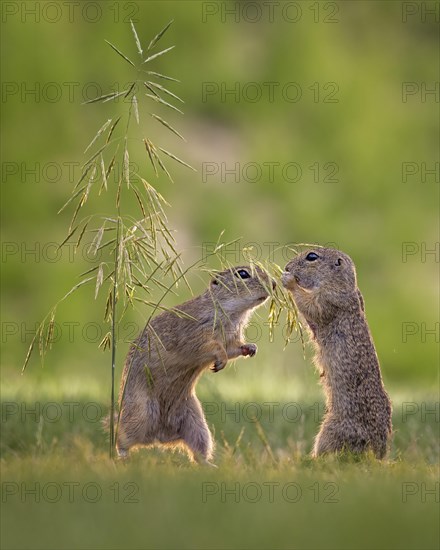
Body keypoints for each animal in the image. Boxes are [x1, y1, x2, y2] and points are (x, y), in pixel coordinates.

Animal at [115, 268, 274, 466]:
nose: (274, 283)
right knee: (121, 439)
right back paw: (123, 459)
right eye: (243, 273)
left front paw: (251, 348)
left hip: (197, 426)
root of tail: (159, 437)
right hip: (139, 414)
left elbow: (233, 348)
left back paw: (213, 466)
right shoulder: (197, 333)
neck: (232, 313)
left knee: (198, 454)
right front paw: (220, 361)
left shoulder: (232, 338)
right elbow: (212, 347)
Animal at [282, 248, 392, 460]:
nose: (287, 266)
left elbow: (311, 305)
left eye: (311, 257)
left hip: (331, 429)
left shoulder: (328, 299)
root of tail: (376, 452)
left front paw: (288, 280)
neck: (344, 285)